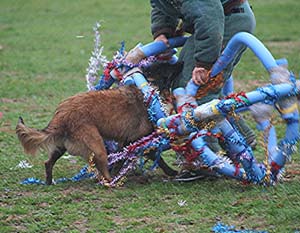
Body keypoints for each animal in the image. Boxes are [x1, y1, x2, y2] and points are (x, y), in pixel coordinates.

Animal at [15, 84, 176, 185]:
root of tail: (61, 114)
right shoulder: (134, 141)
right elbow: (156, 158)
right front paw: (172, 171)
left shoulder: (125, 142)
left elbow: (120, 159)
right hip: (97, 145)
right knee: (103, 169)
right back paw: (111, 182)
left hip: (62, 146)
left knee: (48, 163)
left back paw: (49, 182)